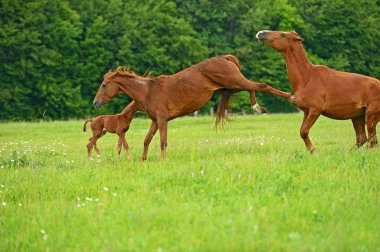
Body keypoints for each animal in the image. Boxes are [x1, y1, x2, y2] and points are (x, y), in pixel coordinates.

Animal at [93, 54, 292, 159]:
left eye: (104, 85)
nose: (95, 102)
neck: (148, 90)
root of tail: (224, 58)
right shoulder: (155, 121)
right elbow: (147, 140)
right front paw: (143, 161)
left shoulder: (163, 120)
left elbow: (163, 142)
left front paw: (162, 162)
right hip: (232, 86)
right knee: (255, 87)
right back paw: (257, 106)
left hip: (235, 81)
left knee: (262, 85)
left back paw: (285, 99)